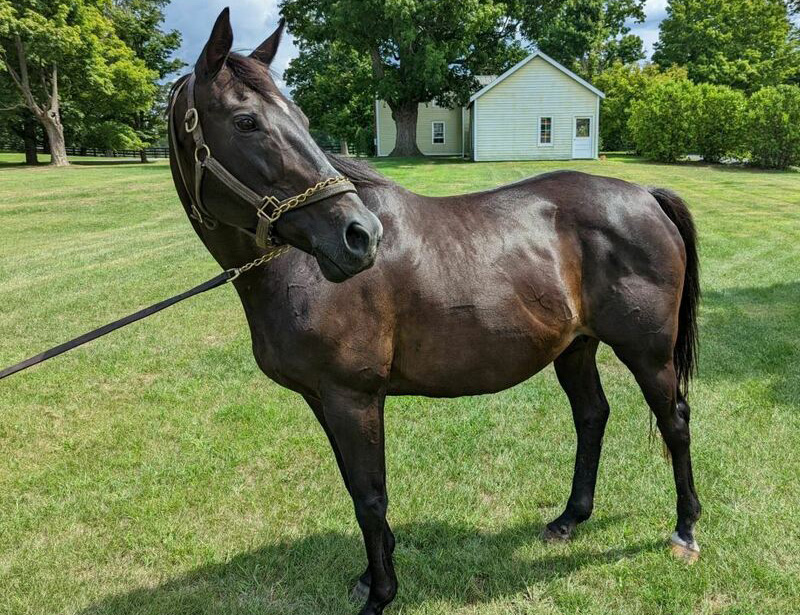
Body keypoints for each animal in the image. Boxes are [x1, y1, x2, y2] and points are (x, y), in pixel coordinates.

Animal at [167, 9, 700, 615]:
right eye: (246, 121)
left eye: (297, 117)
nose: (360, 236)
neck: (300, 268)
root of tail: (645, 195)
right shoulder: (322, 399)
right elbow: (354, 487)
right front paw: (369, 575)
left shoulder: (353, 397)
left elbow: (370, 496)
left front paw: (380, 593)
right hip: (576, 348)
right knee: (592, 416)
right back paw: (569, 519)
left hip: (647, 352)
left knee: (675, 422)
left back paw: (685, 531)